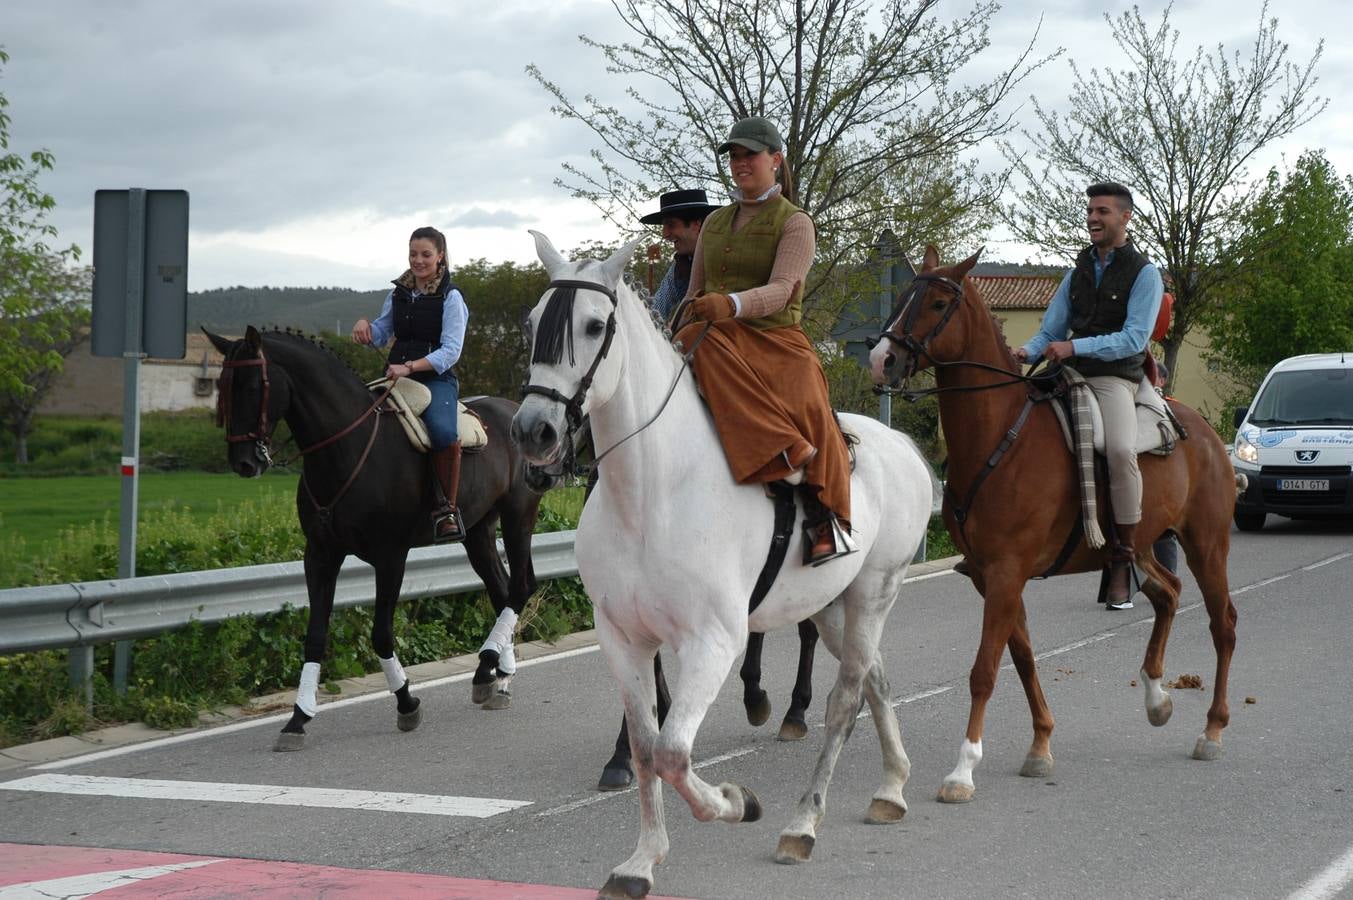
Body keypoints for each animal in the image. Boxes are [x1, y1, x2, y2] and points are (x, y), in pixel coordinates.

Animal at [511, 232, 936, 898]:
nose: (535, 430)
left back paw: (801, 824)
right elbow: (645, 748)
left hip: (874, 593)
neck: (652, 493)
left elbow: (674, 753)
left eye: (594, 325)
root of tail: (903, 447)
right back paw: (891, 787)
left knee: (844, 703)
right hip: (833, 606)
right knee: (875, 679)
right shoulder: (623, 640)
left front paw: (738, 802)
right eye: (532, 323)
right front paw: (641, 861)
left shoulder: (711, 641)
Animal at [865, 246, 1239, 801]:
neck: (1000, 436)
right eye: (904, 297)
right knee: (1169, 594)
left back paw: (1212, 729)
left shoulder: (1005, 572)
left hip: (1206, 545)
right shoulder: (990, 576)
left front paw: (963, 769)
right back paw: (1156, 698)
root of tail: (1208, 434)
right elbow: (1021, 658)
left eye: (936, 303)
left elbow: (984, 669)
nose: (882, 359)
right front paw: (1040, 744)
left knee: (1223, 625)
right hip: (1140, 546)